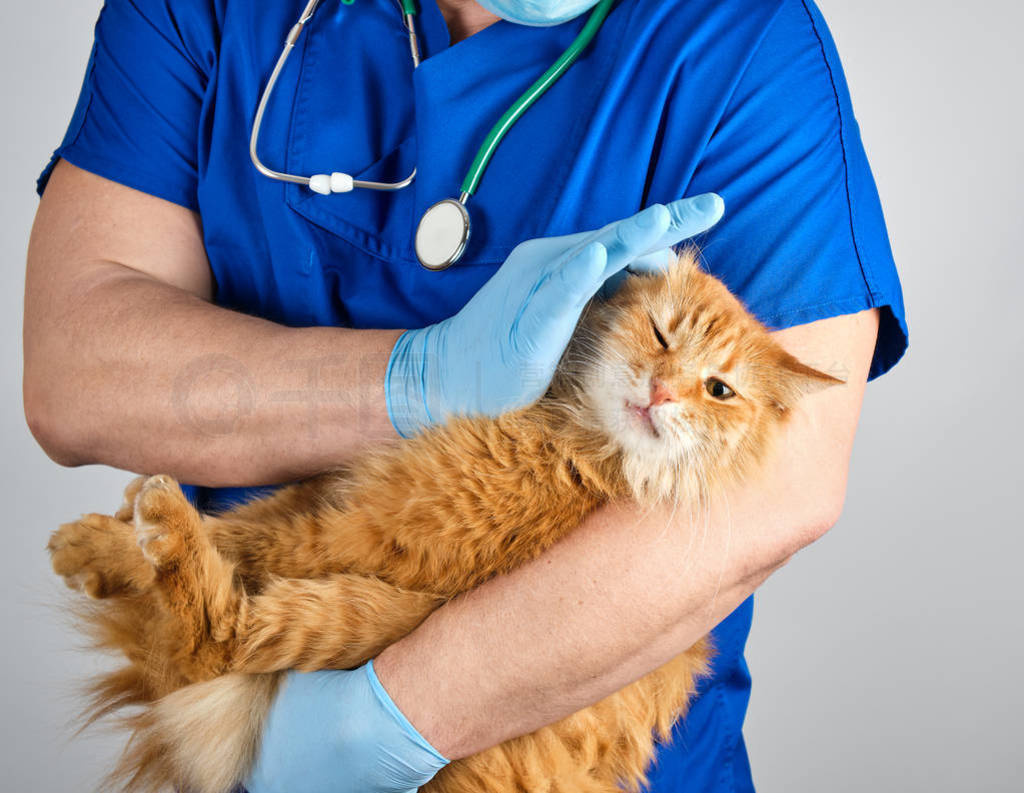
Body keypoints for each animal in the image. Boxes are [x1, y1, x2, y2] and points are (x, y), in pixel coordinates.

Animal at [48, 249, 839, 793]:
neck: (570, 433)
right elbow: (247, 520)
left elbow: (238, 542)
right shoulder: (338, 494)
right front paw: (95, 543)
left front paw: (117, 537)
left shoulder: (362, 534)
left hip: (364, 611)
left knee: (210, 639)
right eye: (661, 335)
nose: (663, 391)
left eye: (718, 390)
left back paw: (162, 519)